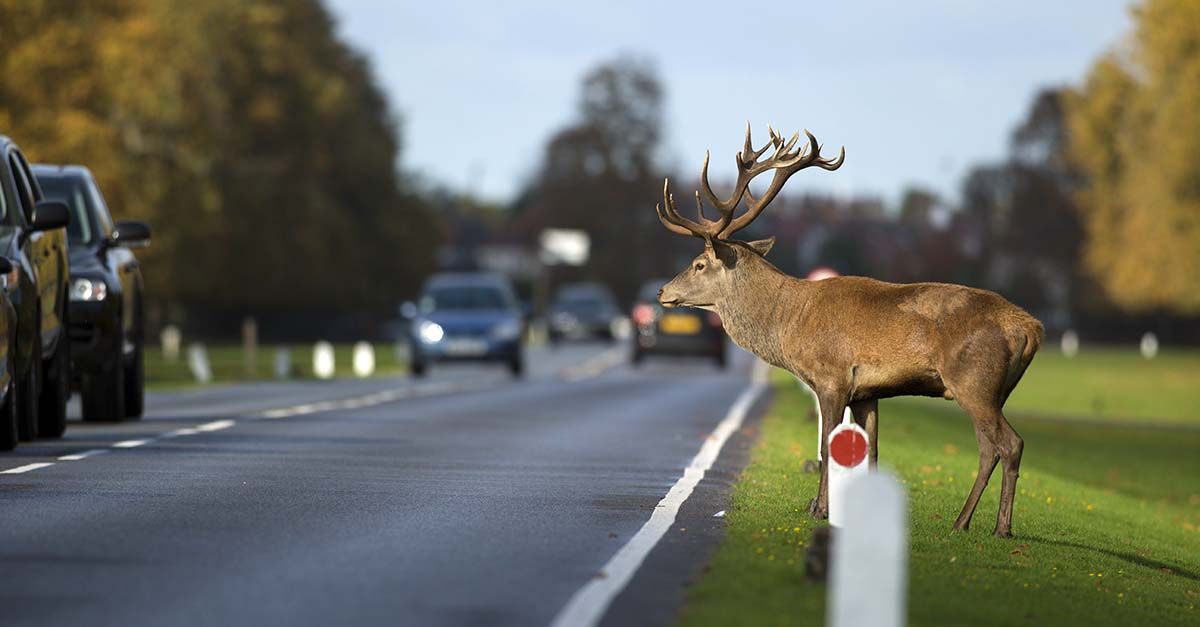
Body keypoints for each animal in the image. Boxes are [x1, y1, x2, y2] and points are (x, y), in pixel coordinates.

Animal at [654, 124, 1043, 537]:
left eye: (698, 263)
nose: (662, 291)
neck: (788, 322)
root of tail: (1031, 329)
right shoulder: (867, 393)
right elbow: (871, 451)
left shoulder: (832, 378)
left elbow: (828, 446)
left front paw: (819, 508)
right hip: (994, 391)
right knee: (988, 449)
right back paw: (962, 521)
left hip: (974, 381)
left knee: (1010, 443)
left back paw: (1001, 527)